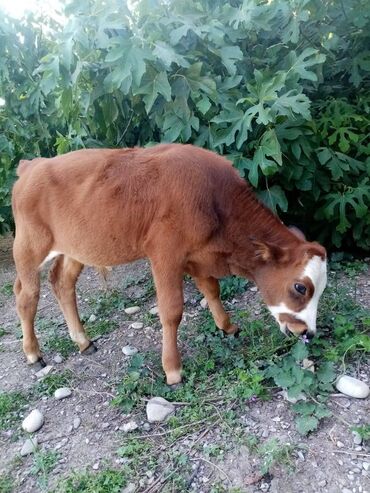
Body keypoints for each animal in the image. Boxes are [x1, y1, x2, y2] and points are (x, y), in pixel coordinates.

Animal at [12, 142, 326, 384]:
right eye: (300, 287)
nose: (308, 333)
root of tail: (32, 165)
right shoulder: (165, 255)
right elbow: (172, 311)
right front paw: (173, 370)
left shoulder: (198, 256)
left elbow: (212, 290)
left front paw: (227, 326)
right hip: (29, 246)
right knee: (26, 295)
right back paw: (33, 353)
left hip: (77, 249)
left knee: (61, 283)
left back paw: (83, 341)